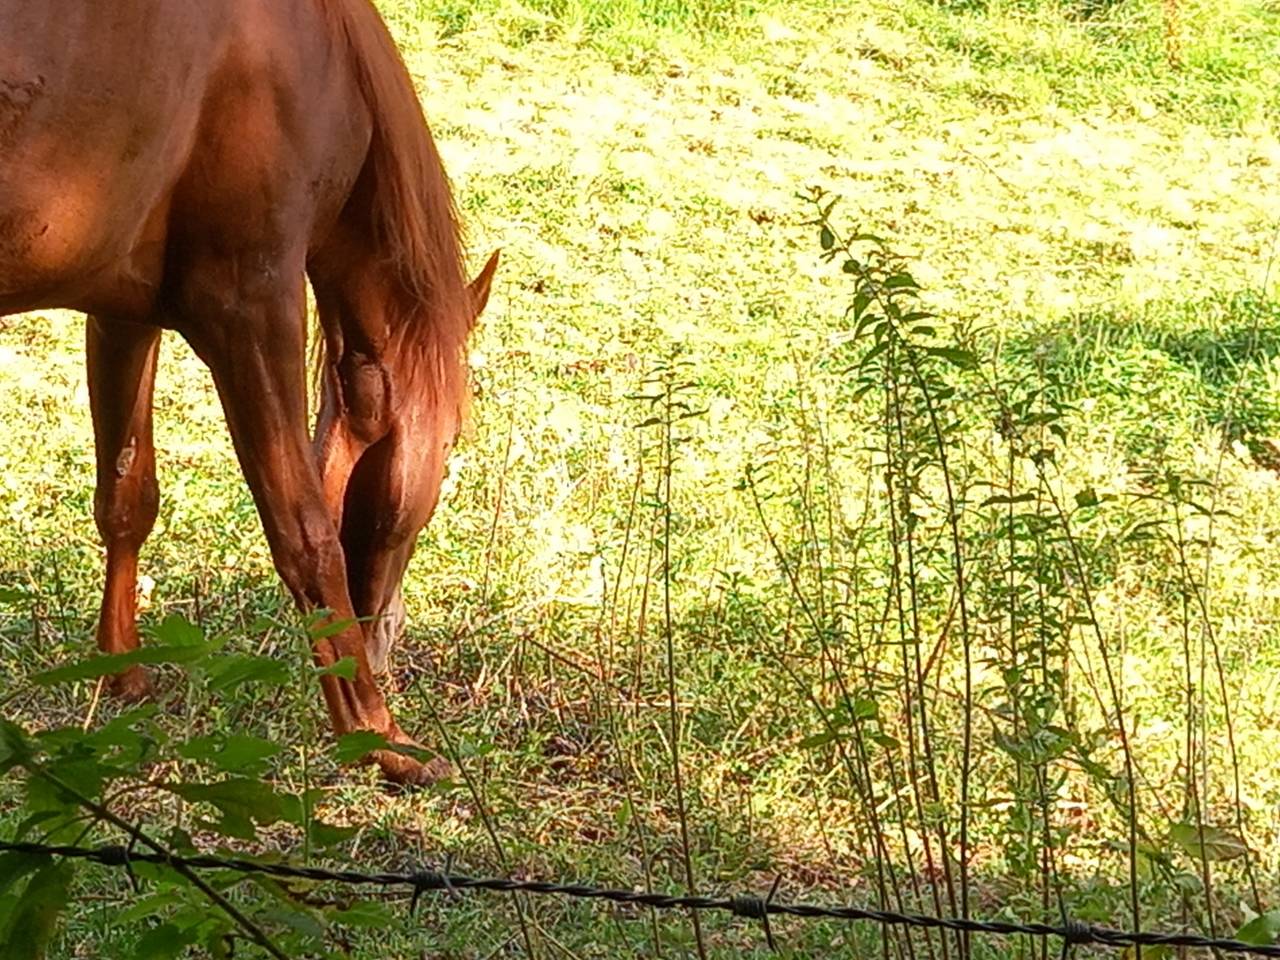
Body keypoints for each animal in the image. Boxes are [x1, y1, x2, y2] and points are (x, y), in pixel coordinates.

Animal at [0, 0, 498, 785]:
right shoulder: (251, 311)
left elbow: (126, 496)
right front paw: (378, 734)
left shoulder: (124, 313)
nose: (383, 640)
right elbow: (307, 534)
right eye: (451, 442)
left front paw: (122, 672)